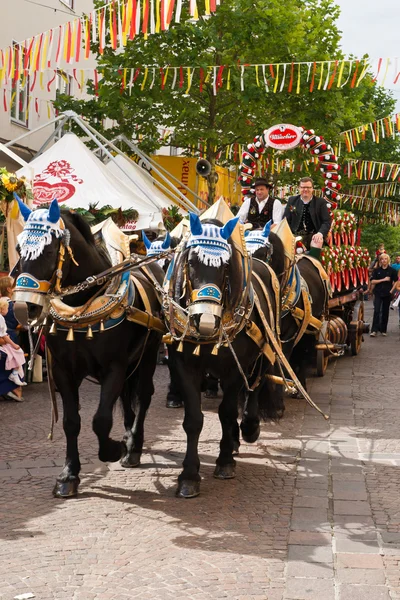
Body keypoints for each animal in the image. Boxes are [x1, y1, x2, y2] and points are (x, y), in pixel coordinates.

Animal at [14, 199, 164, 500]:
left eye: (49, 249)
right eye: (17, 248)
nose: (24, 308)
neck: (81, 308)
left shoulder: (114, 367)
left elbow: (101, 420)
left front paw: (114, 448)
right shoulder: (63, 370)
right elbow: (72, 421)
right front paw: (68, 475)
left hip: (149, 354)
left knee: (143, 396)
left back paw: (133, 447)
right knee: (128, 399)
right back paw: (128, 436)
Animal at [165, 214, 282, 496]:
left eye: (226, 265)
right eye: (191, 261)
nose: (206, 321)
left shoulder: (234, 369)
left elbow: (227, 412)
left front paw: (225, 461)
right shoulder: (183, 365)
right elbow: (194, 420)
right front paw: (189, 476)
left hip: (263, 353)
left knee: (255, 386)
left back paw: (248, 428)